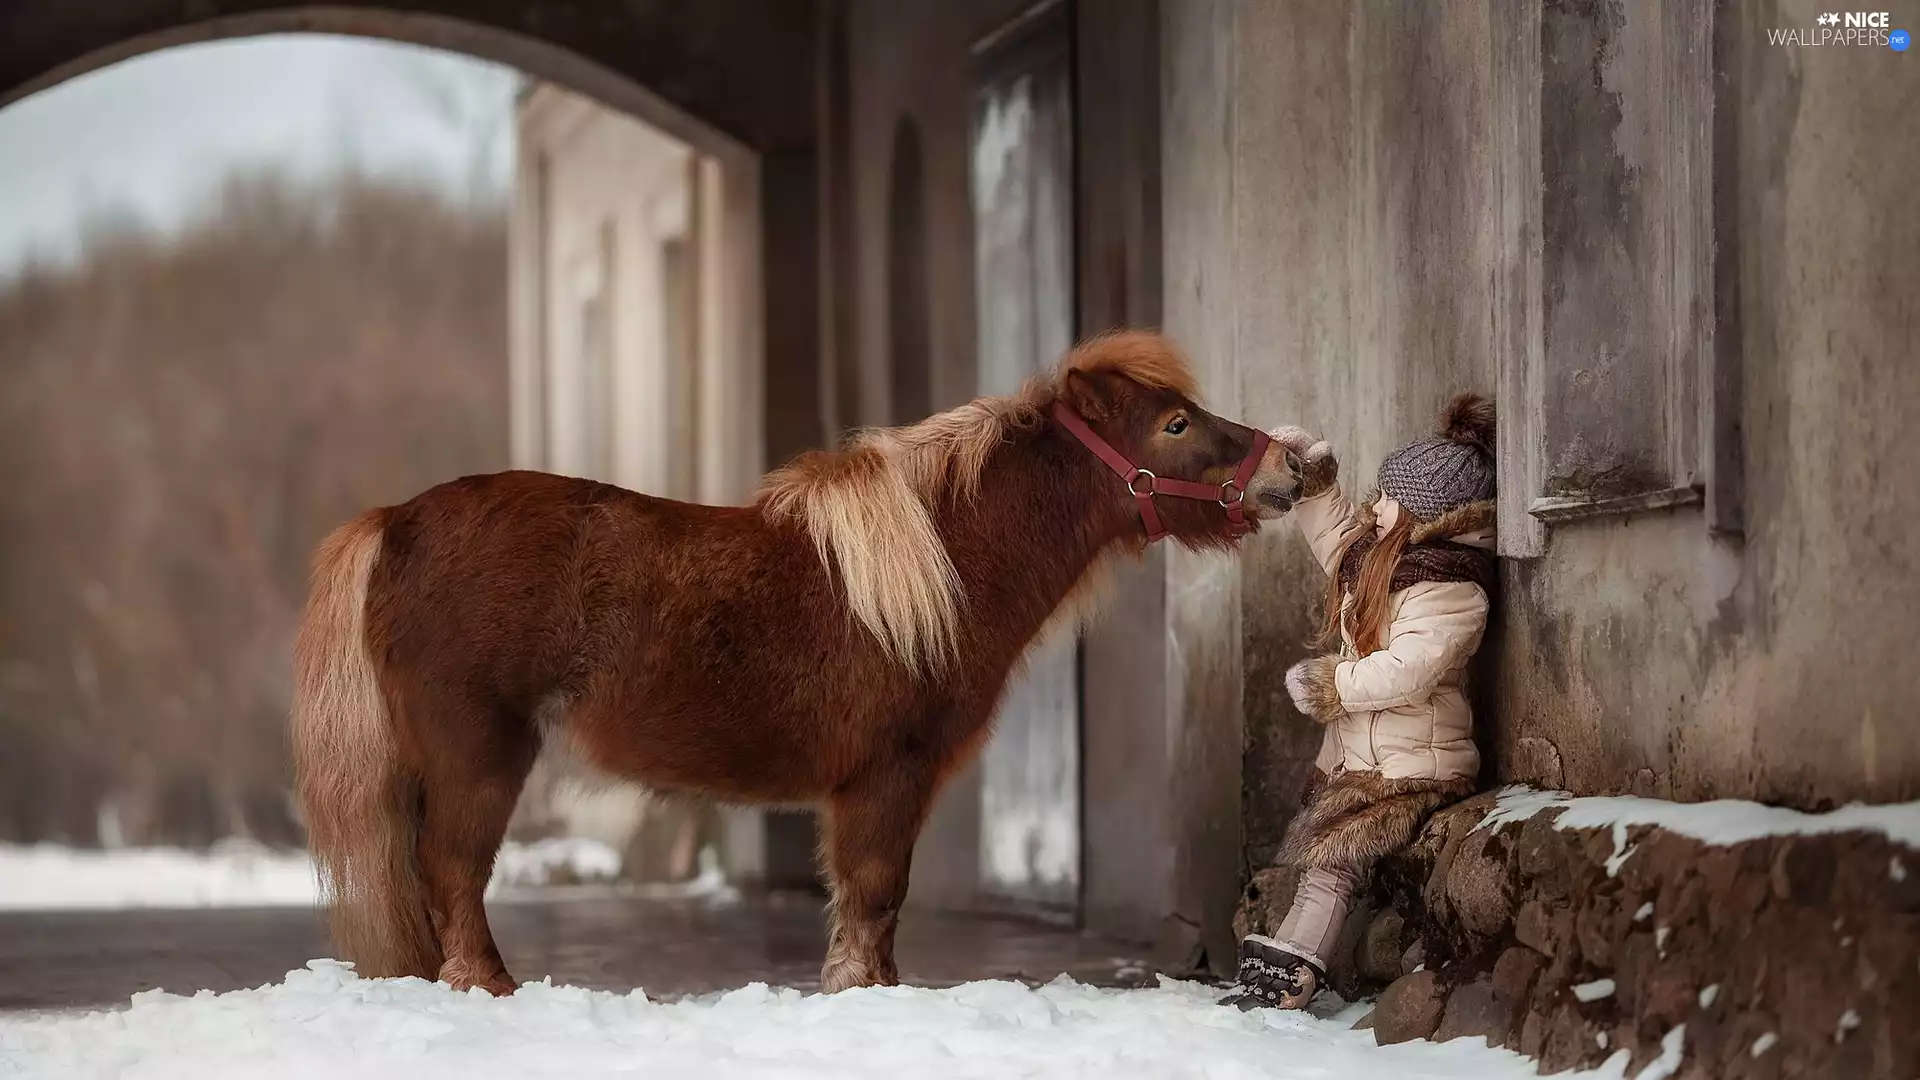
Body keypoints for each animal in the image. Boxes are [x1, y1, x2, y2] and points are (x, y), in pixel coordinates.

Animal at [291, 330, 1301, 996]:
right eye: (1175, 425)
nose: (1297, 466)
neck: (940, 565)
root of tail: (394, 523)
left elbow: (863, 900)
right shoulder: (886, 776)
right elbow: (875, 892)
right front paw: (866, 993)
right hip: (480, 754)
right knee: (453, 871)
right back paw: (488, 988)